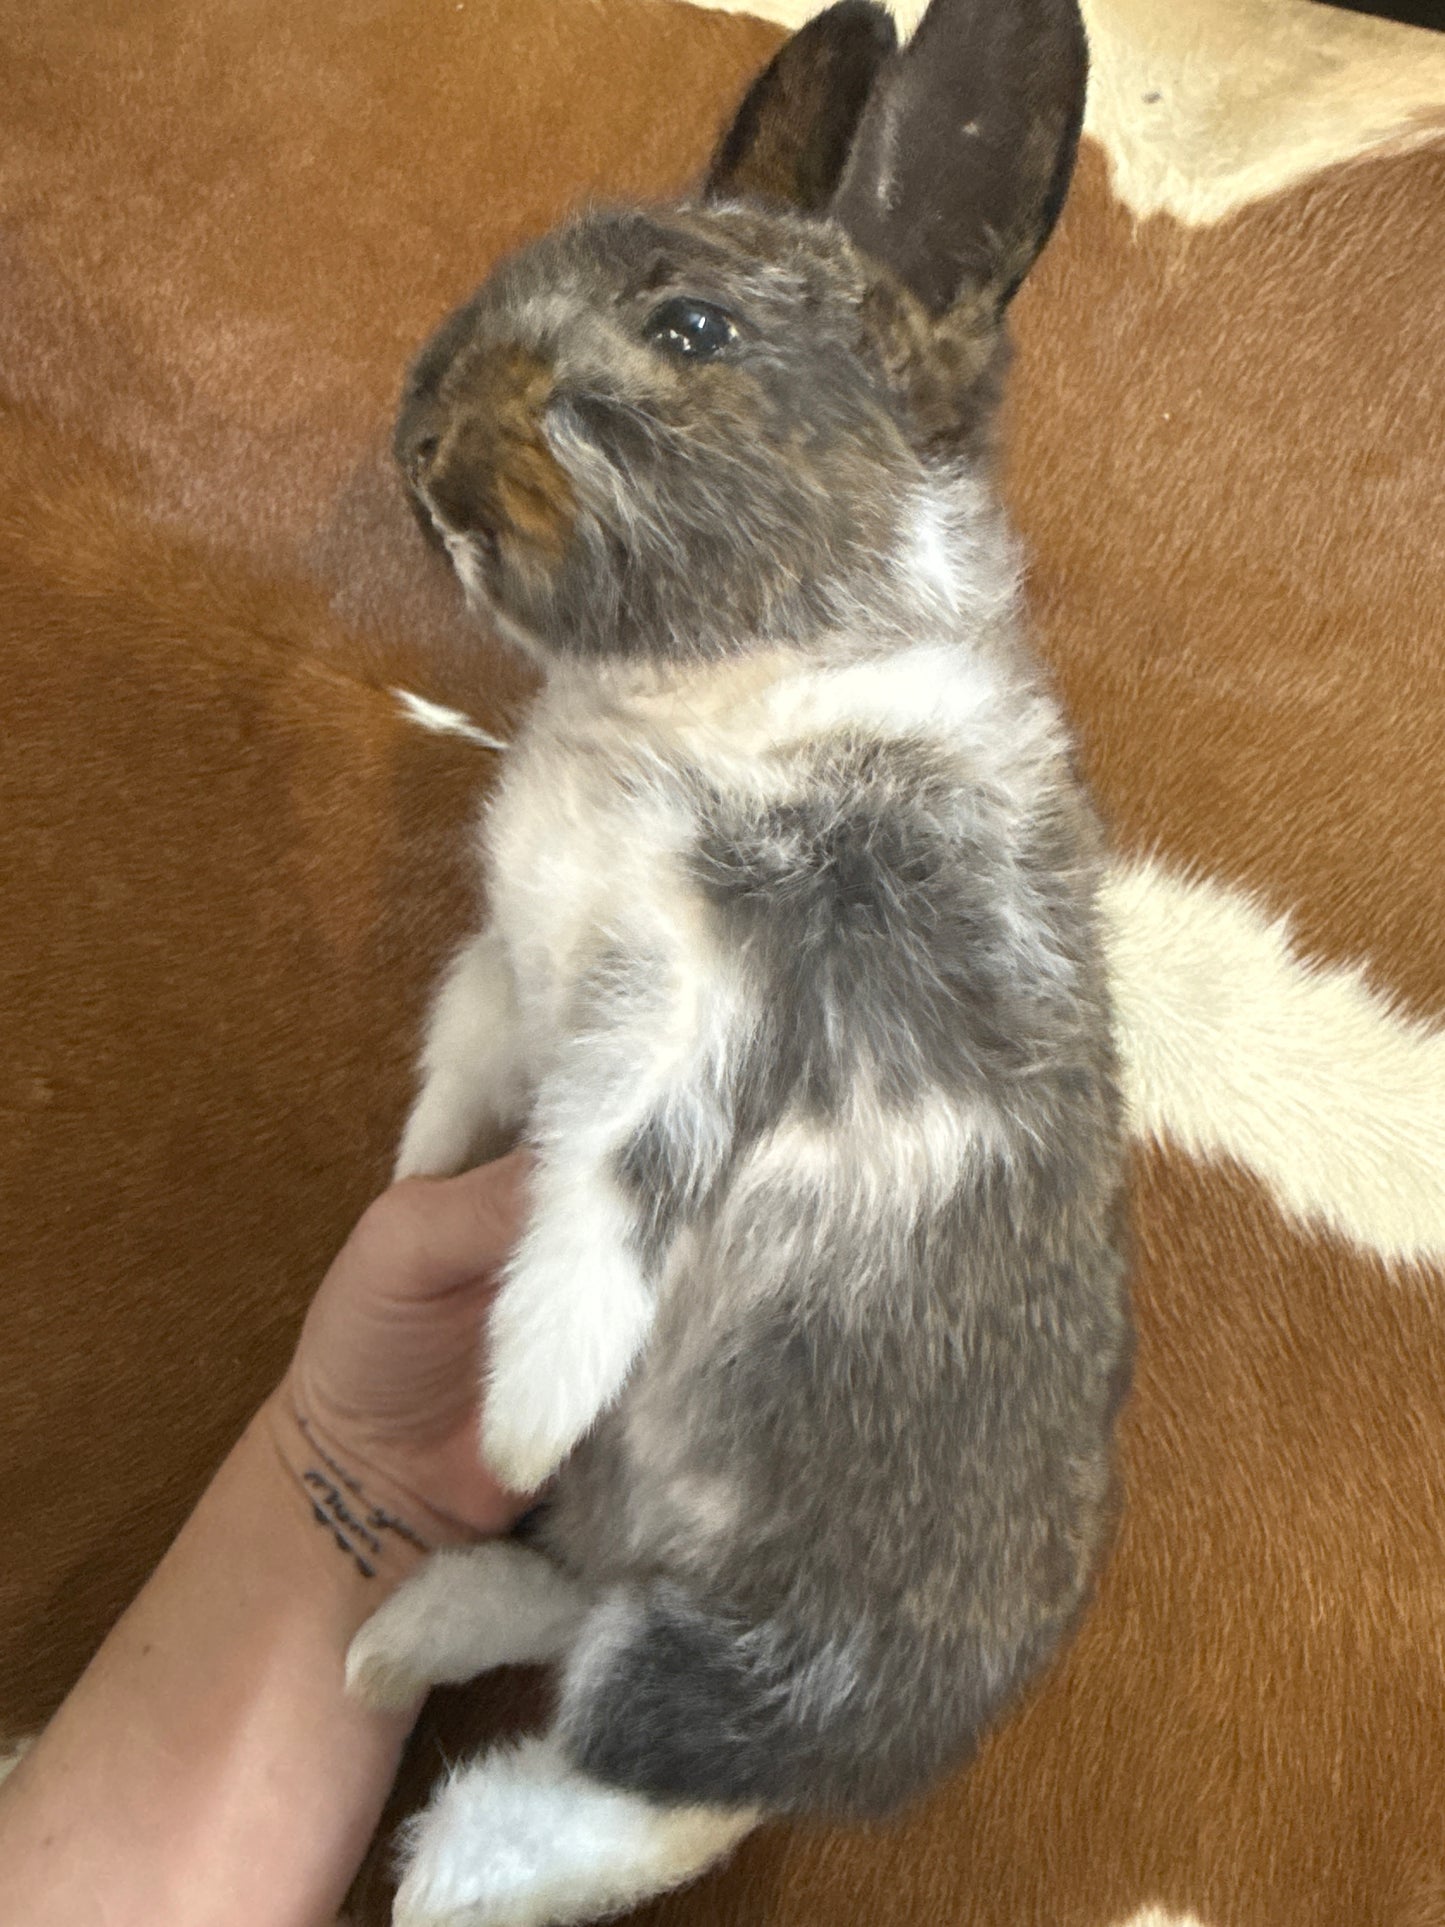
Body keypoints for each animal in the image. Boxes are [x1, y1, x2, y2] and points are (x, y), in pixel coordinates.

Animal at [345, 0, 1132, 1921]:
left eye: (689, 331)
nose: (427, 447)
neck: (731, 679)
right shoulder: (515, 971)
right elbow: (464, 1072)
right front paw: (411, 1187)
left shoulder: (744, 1006)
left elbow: (608, 1196)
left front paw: (522, 1407)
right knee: (577, 1633)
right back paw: (404, 1637)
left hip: (741, 1661)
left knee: (633, 1776)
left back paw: (446, 1847)